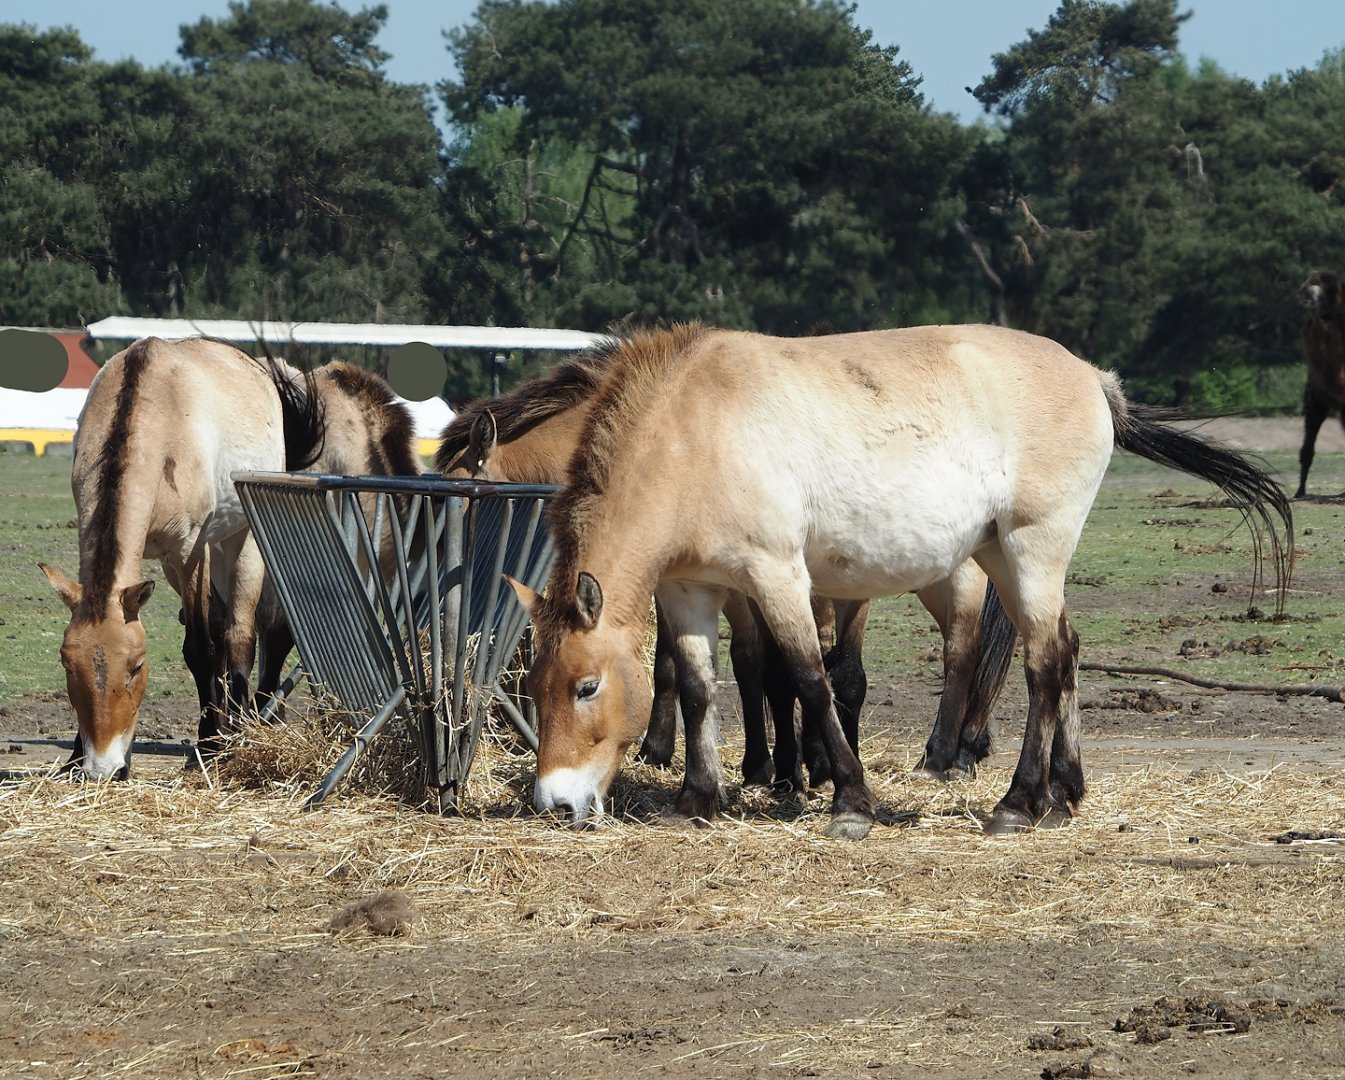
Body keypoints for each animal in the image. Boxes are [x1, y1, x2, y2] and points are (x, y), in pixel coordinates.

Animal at [39, 336, 324, 780]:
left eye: (137, 665)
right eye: (68, 665)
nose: (105, 768)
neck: (156, 425)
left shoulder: (189, 551)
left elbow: (200, 648)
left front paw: (209, 744)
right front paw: (73, 757)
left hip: (239, 543)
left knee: (239, 633)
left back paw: (236, 731)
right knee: (223, 622)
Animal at [435, 343, 1017, 792]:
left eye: (462, 500)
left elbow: (816, 672)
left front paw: (796, 768)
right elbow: (714, 664)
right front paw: (735, 760)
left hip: (954, 577)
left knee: (963, 649)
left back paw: (941, 757)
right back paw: (967, 746)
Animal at [508, 323, 1293, 839]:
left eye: (585, 687)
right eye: (534, 685)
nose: (554, 803)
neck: (695, 427)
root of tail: (1095, 379)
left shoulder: (776, 573)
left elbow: (808, 678)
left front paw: (849, 802)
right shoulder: (688, 589)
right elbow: (699, 685)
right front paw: (696, 800)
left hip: (1032, 549)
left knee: (1043, 664)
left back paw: (1016, 804)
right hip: (1003, 559)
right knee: (1065, 651)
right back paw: (1065, 792)